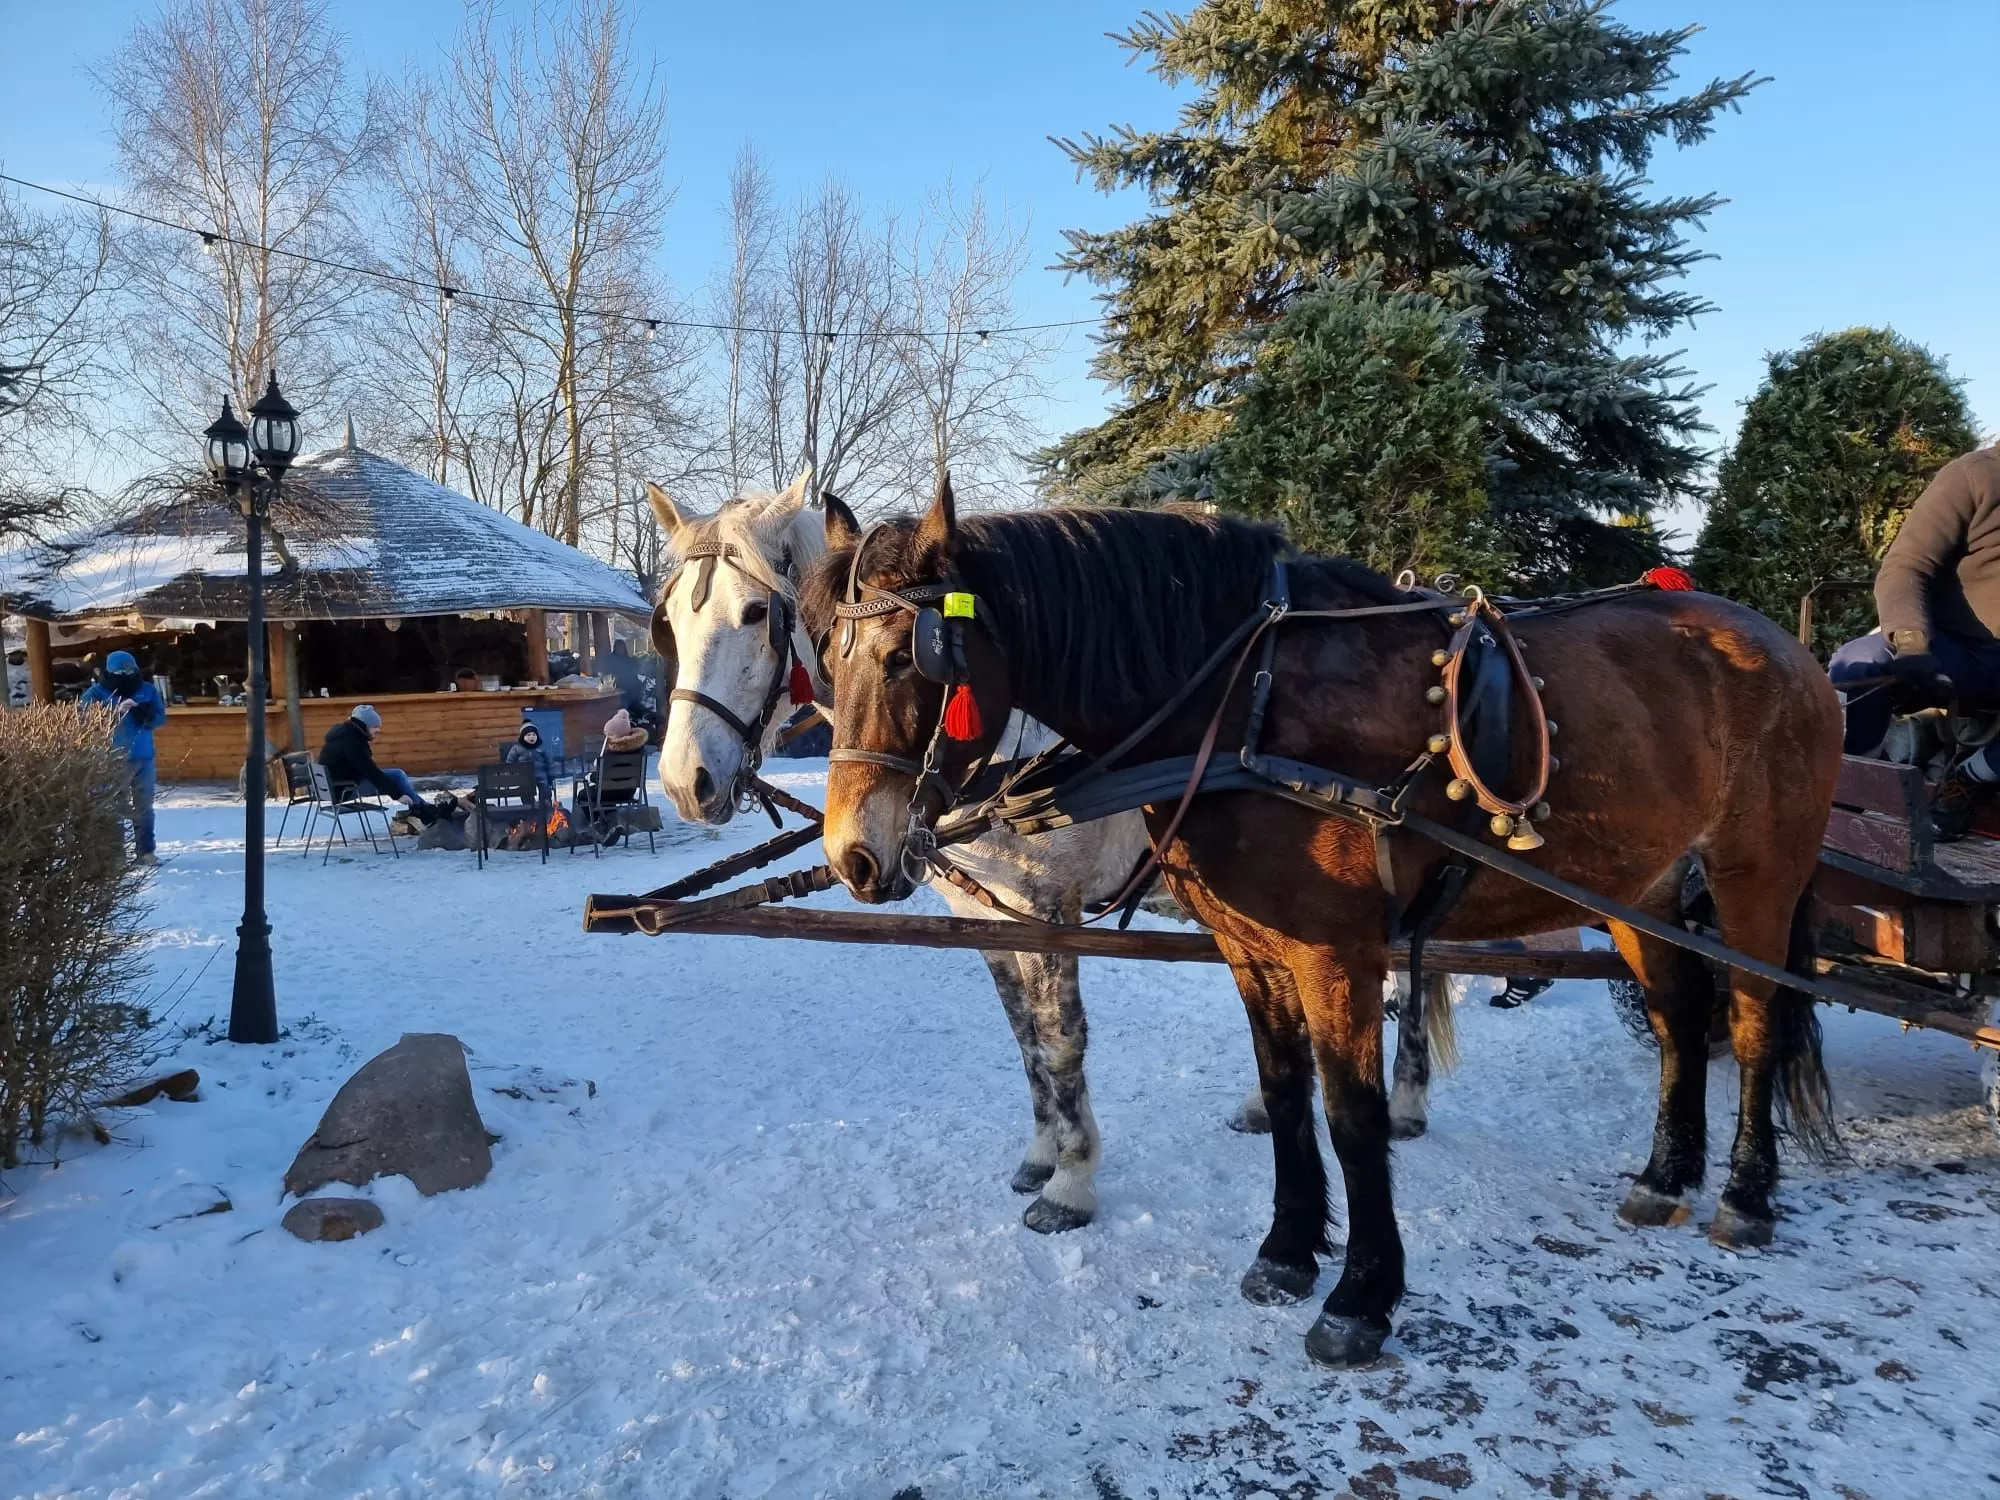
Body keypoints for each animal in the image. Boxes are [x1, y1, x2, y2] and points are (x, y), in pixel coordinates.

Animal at [652, 484, 1456, 1248]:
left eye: (757, 612)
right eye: (670, 625)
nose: (686, 782)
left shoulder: (1045, 911)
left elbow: (1060, 1040)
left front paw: (1071, 1181)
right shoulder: (982, 913)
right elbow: (1024, 1036)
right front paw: (1043, 1152)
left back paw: (1408, 1100)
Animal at [800, 482, 1840, 1376]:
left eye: (909, 658)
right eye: (826, 658)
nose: (855, 854)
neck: (1242, 700)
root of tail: (1785, 648)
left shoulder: (1327, 948)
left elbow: (1346, 1112)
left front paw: (1358, 1298)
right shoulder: (1243, 943)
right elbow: (1280, 1088)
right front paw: (1287, 1249)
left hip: (1754, 878)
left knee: (1754, 1020)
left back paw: (1744, 1193)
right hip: (1643, 888)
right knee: (1677, 1019)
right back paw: (1666, 1177)